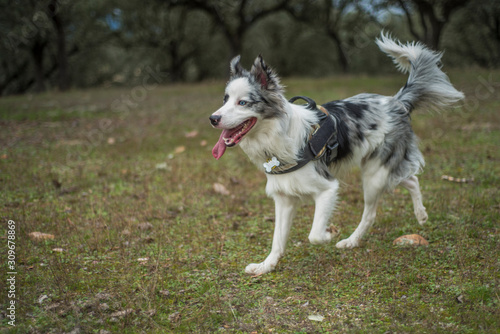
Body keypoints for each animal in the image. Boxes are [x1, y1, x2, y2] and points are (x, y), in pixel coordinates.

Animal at [208, 34, 464, 276]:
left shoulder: (327, 189)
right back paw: (421, 215)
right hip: (379, 169)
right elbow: (277, 240)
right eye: (225, 99)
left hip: (375, 175)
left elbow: (314, 235)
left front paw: (329, 233)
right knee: (411, 179)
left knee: (372, 211)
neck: (276, 135)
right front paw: (266, 266)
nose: (213, 118)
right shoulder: (284, 197)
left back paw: (351, 240)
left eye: (243, 102)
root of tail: (396, 102)